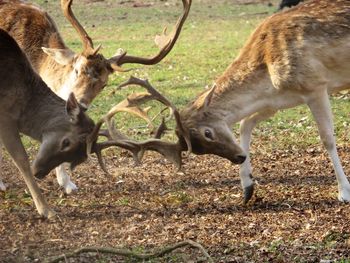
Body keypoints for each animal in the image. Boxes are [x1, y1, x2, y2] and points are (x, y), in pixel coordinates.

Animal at [0, 28, 97, 219]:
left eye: (78, 158)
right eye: (66, 142)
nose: (39, 173)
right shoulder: (5, 117)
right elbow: (21, 159)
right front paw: (47, 210)